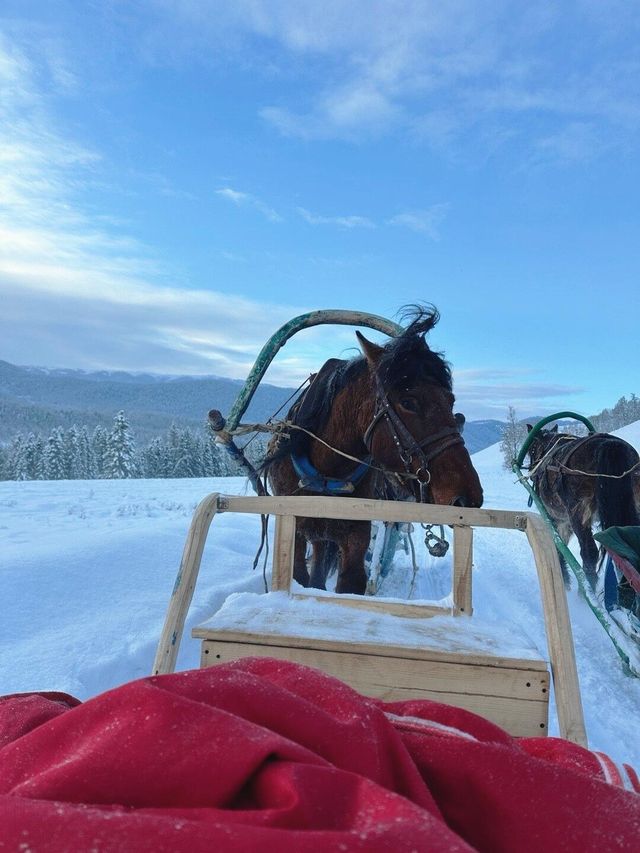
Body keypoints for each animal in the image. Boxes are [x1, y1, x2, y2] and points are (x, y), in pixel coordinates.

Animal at [262, 306, 482, 592]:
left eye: (450, 400)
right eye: (408, 402)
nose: (469, 497)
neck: (327, 474)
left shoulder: (355, 537)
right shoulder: (295, 530)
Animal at [524, 424, 640, 604]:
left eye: (532, 449)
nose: (531, 468)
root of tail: (610, 445)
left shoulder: (558, 519)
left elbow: (559, 546)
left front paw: (564, 580)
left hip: (578, 513)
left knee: (589, 554)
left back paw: (585, 594)